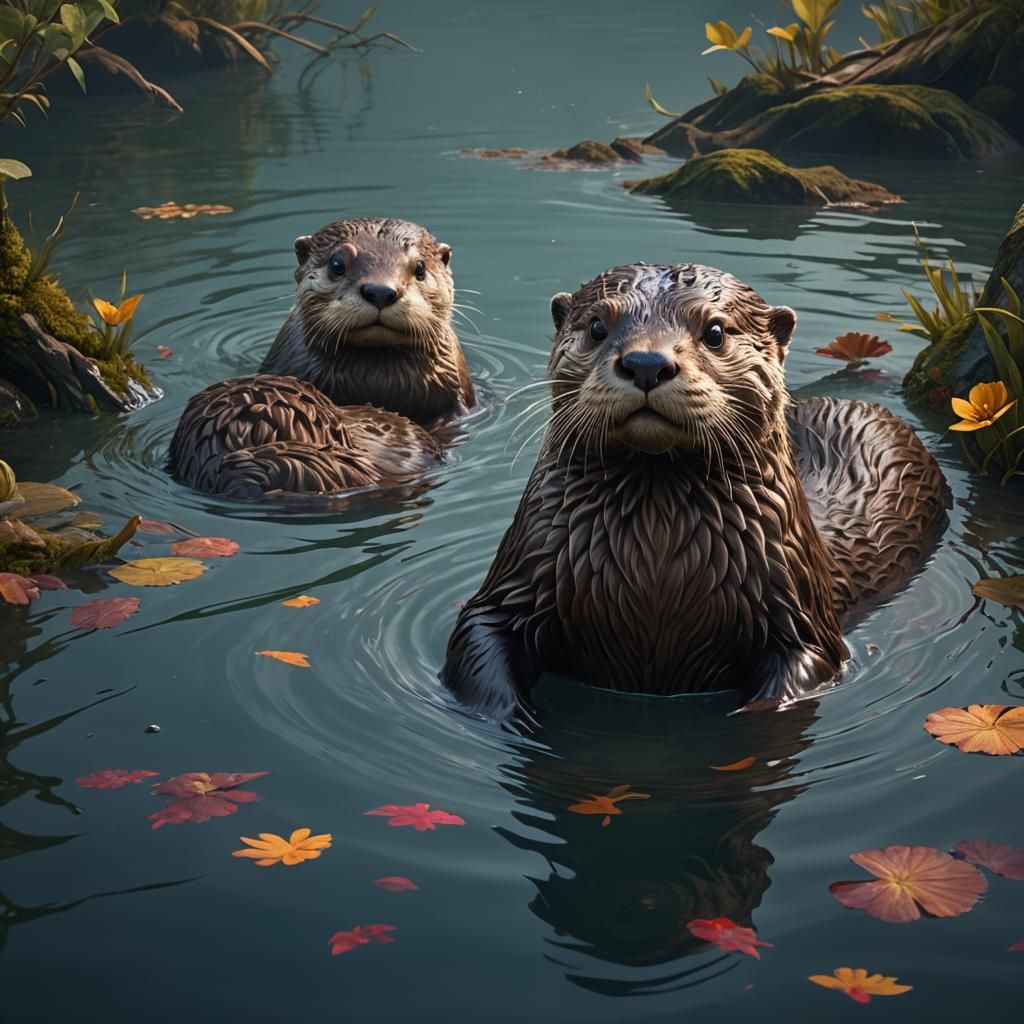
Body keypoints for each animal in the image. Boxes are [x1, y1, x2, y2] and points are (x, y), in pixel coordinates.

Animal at [442, 263, 948, 726]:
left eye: (716, 331)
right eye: (597, 326)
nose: (647, 363)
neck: (654, 566)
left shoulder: (803, 618)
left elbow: (801, 672)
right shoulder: (516, 578)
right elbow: (475, 638)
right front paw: (519, 718)